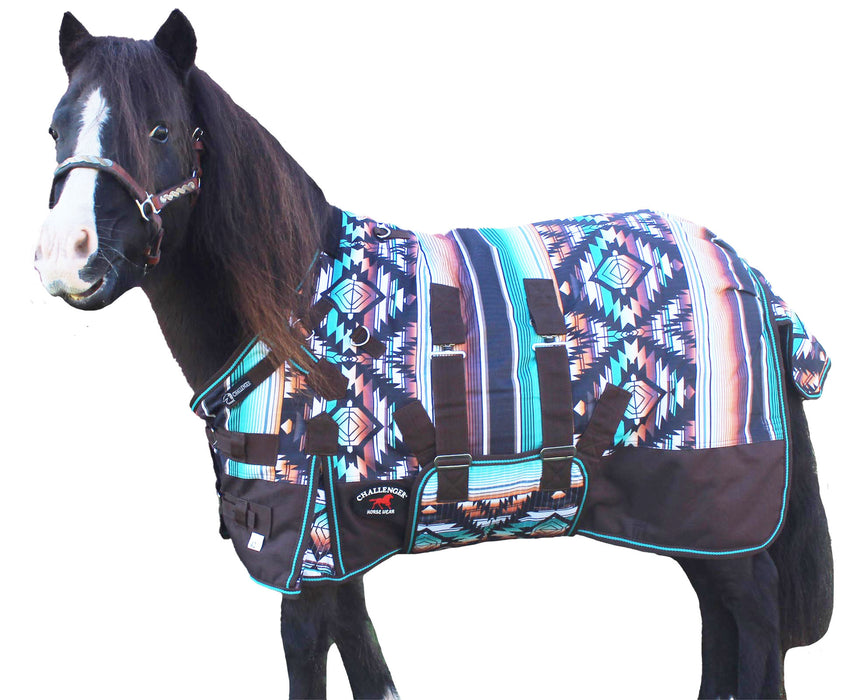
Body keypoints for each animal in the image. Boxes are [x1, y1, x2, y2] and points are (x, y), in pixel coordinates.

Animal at [34, 10, 833, 699]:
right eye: (55, 128)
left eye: (160, 130)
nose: (67, 259)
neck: (290, 313)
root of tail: (740, 268)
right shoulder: (338, 545)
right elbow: (365, 658)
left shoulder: (304, 553)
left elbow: (308, 657)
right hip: (693, 522)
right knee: (719, 623)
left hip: (719, 507)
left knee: (753, 615)